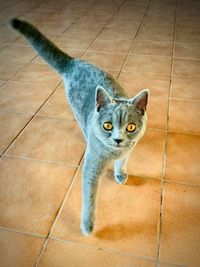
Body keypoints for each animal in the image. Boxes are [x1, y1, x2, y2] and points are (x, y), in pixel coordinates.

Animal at [9, 18, 149, 237]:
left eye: (131, 127)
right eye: (107, 125)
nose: (118, 139)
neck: (113, 152)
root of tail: (74, 62)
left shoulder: (130, 148)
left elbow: (123, 161)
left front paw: (120, 173)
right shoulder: (91, 167)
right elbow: (90, 198)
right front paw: (87, 225)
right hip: (76, 111)